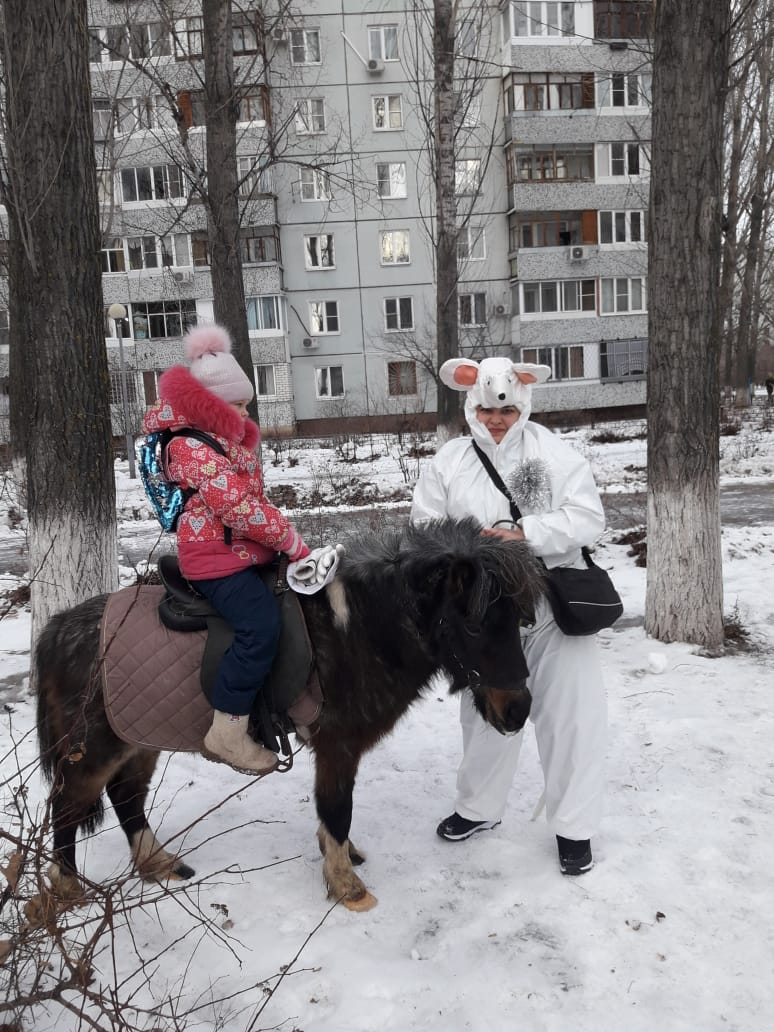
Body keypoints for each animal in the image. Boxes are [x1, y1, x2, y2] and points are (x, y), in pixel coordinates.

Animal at [34, 516, 544, 912]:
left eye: (521, 621)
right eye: (474, 626)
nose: (519, 711)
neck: (358, 629)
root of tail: (59, 629)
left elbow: (333, 811)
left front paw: (341, 858)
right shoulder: (338, 745)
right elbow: (337, 808)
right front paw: (346, 886)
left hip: (139, 733)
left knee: (126, 797)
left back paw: (158, 864)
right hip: (95, 746)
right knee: (67, 805)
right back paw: (68, 891)